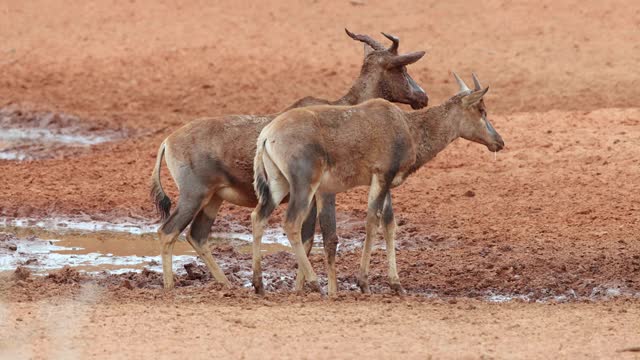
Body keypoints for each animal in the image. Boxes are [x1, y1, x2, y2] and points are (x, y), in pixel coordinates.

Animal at [151, 30, 430, 290]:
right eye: (402, 67)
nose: (423, 97)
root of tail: (168, 141)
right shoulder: (320, 194)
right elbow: (318, 238)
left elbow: (308, 240)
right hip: (194, 195)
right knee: (167, 232)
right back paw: (170, 287)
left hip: (213, 199)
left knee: (197, 236)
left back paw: (228, 285)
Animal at [250, 72, 504, 296]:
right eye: (481, 110)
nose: (499, 142)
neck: (403, 124)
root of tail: (267, 134)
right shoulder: (382, 176)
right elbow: (372, 220)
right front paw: (364, 283)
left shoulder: (385, 181)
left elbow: (389, 224)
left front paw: (397, 285)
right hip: (304, 186)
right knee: (291, 223)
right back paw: (315, 285)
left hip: (278, 184)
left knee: (258, 217)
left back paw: (259, 285)